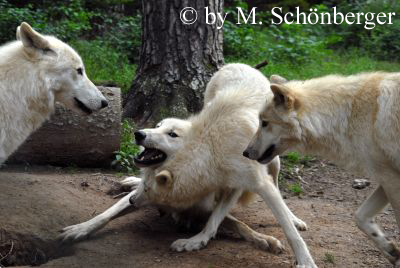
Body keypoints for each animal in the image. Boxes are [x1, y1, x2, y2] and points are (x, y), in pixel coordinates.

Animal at [60, 64, 306, 258]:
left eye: (172, 134)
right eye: (158, 126)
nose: (139, 134)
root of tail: (241, 64)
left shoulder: (236, 182)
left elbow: (228, 221)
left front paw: (264, 240)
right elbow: (107, 213)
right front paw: (79, 229)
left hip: (273, 161)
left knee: (277, 186)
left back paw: (294, 219)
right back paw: (129, 181)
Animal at [244, 73, 400, 266]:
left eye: (264, 123)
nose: (245, 152)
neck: (347, 115)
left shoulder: (392, 181)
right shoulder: (386, 179)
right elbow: (359, 217)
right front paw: (391, 250)